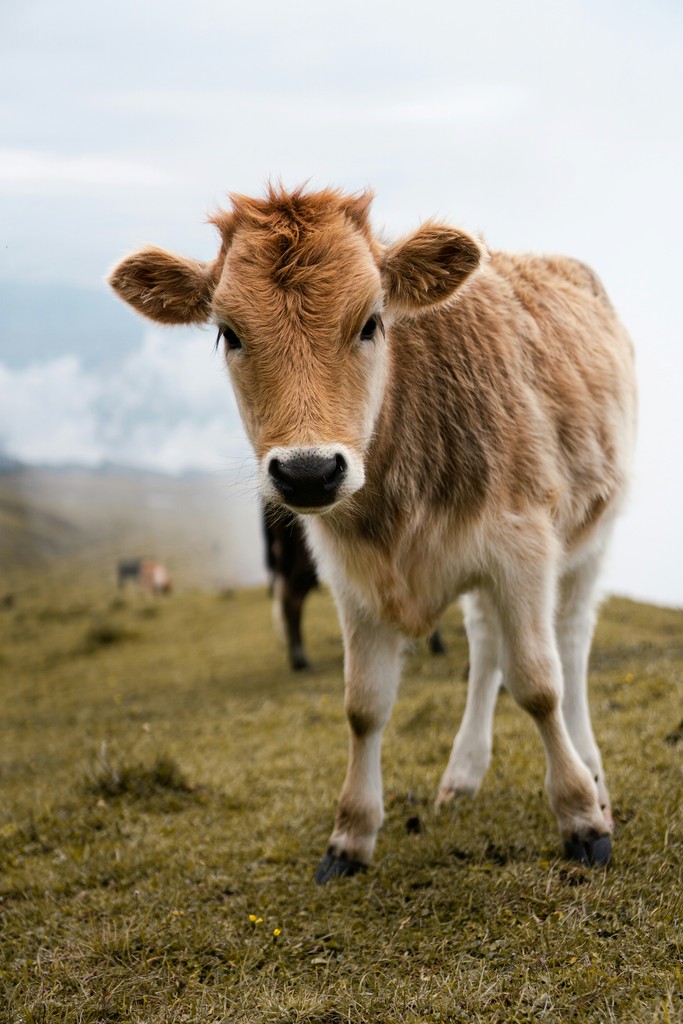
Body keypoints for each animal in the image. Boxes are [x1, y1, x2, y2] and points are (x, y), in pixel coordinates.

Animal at [109, 184, 637, 883]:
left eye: (371, 322)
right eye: (228, 332)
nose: (308, 470)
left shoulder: (523, 543)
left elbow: (539, 683)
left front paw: (581, 818)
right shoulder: (350, 575)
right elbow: (363, 705)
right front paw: (351, 835)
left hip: (591, 533)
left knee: (570, 644)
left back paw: (592, 770)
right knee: (486, 643)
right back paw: (463, 773)